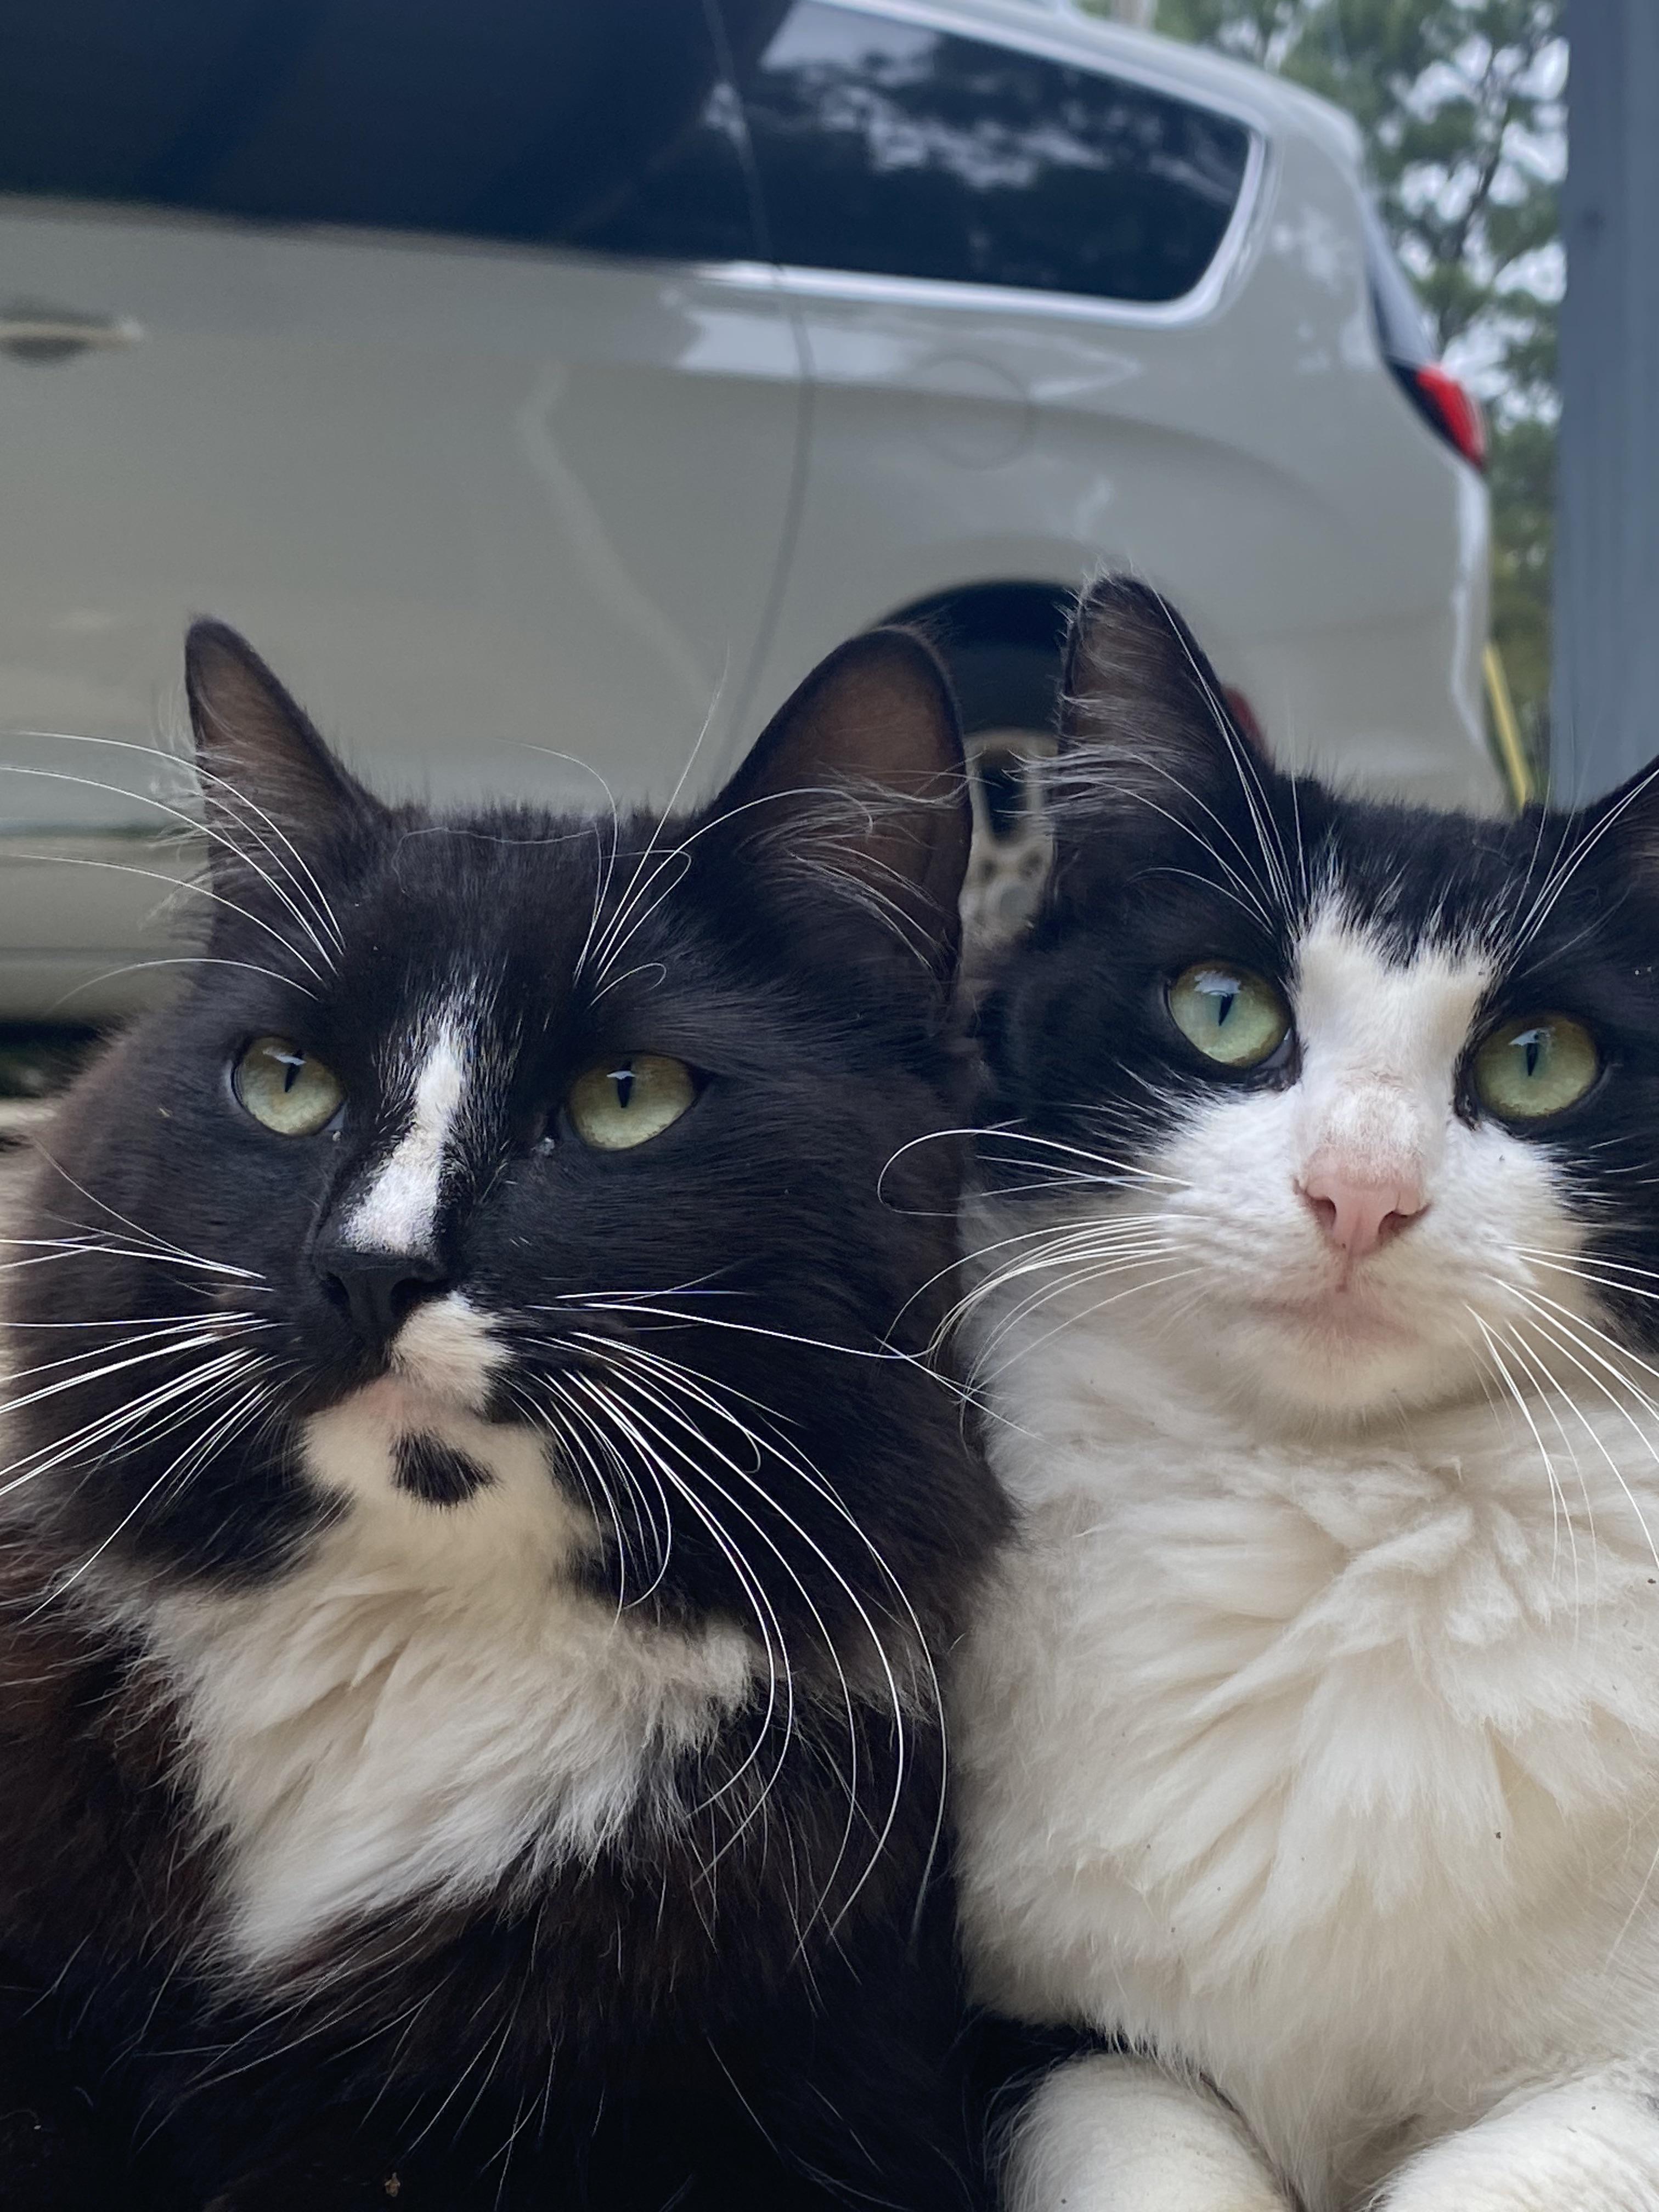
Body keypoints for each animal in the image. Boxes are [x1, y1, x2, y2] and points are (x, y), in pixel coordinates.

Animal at [951, 574, 1659, 2212]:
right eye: (1223, 1008)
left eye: (1542, 1060)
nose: (1361, 1194)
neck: (1335, 1524)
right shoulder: (1025, 2033)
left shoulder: (1625, 2083)